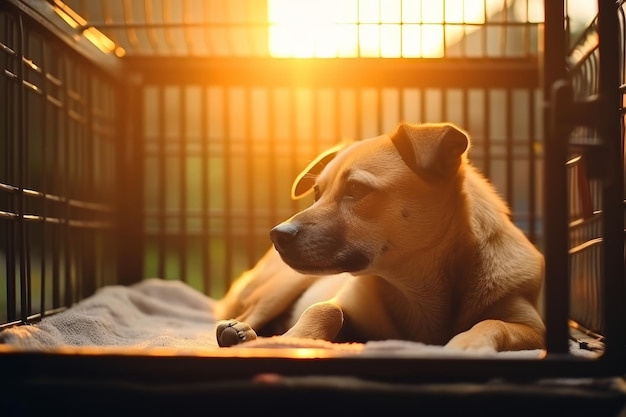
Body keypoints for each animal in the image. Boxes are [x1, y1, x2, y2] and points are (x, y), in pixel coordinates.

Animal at [213, 121, 540, 352]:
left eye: (356, 189)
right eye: (317, 193)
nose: (277, 235)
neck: (415, 285)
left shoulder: (532, 327)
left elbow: (492, 323)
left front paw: (468, 343)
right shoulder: (347, 304)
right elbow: (325, 309)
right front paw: (294, 338)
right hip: (281, 287)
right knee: (251, 313)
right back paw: (241, 331)